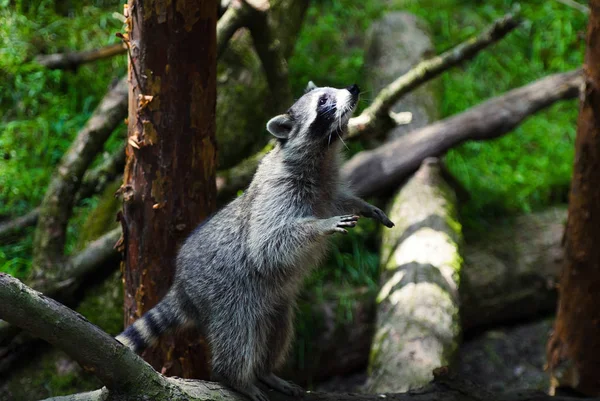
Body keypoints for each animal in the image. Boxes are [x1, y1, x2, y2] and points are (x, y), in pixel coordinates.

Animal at [118, 82, 396, 400]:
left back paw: (265, 370)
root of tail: (183, 285)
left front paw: (364, 206)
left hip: (274, 301)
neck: (322, 153)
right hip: (226, 293)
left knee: (278, 330)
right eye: (324, 101)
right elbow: (267, 243)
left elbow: (340, 199)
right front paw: (320, 226)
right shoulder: (279, 192)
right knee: (236, 335)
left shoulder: (328, 187)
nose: (354, 88)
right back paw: (235, 378)